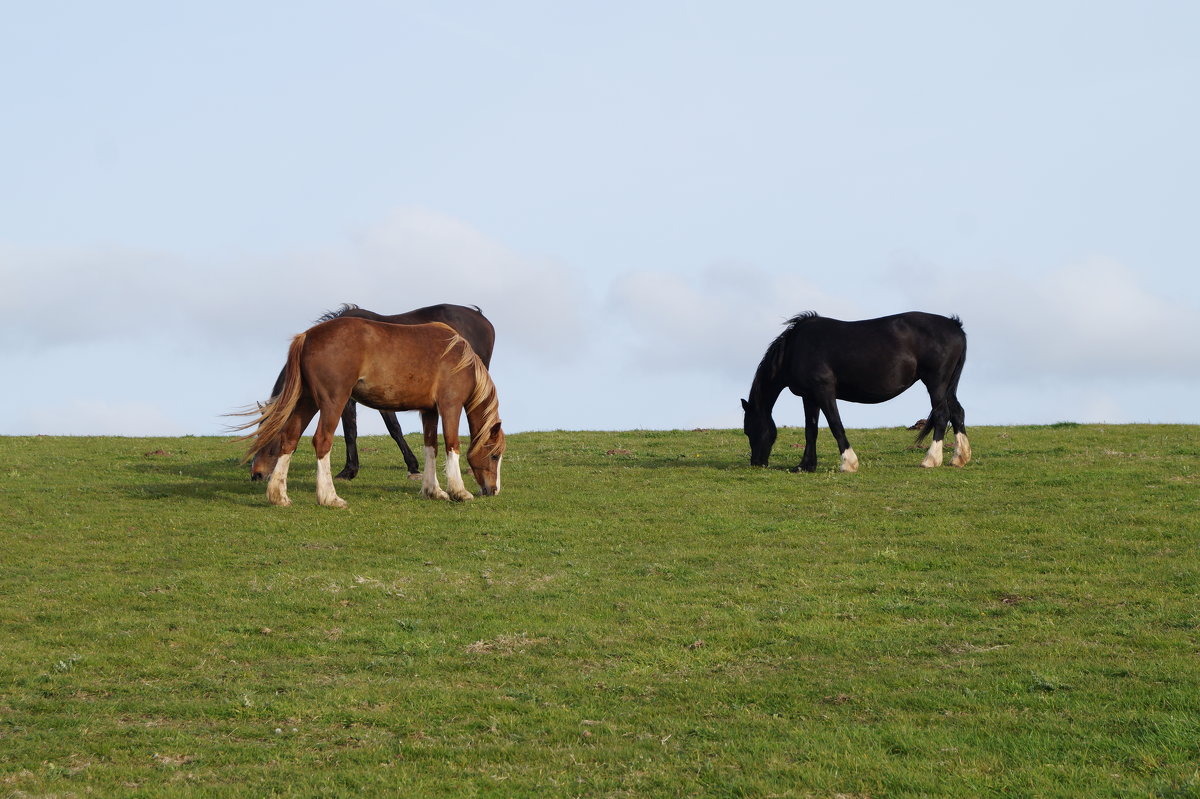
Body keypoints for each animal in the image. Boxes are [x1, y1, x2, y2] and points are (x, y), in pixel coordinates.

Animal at [238, 316, 506, 506]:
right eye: (494, 456)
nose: (493, 490)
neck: (459, 357)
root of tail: (307, 337)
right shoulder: (450, 405)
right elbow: (452, 444)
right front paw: (459, 491)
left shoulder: (429, 410)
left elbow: (431, 447)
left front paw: (433, 490)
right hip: (333, 401)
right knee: (322, 441)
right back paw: (329, 497)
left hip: (307, 401)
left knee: (290, 439)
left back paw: (278, 496)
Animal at [744, 309, 969, 472]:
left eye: (749, 429)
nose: (756, 463)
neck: (795, 348)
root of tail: (954, 324)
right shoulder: (809, 397)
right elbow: (811, 430)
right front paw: (806, 465)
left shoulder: (824, 392)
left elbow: (835, 424)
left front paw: (848, 463)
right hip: (947, 387)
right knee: (957, 413)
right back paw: (959, 458)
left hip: (936, 384)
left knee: (942, 415)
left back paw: (930, 460)